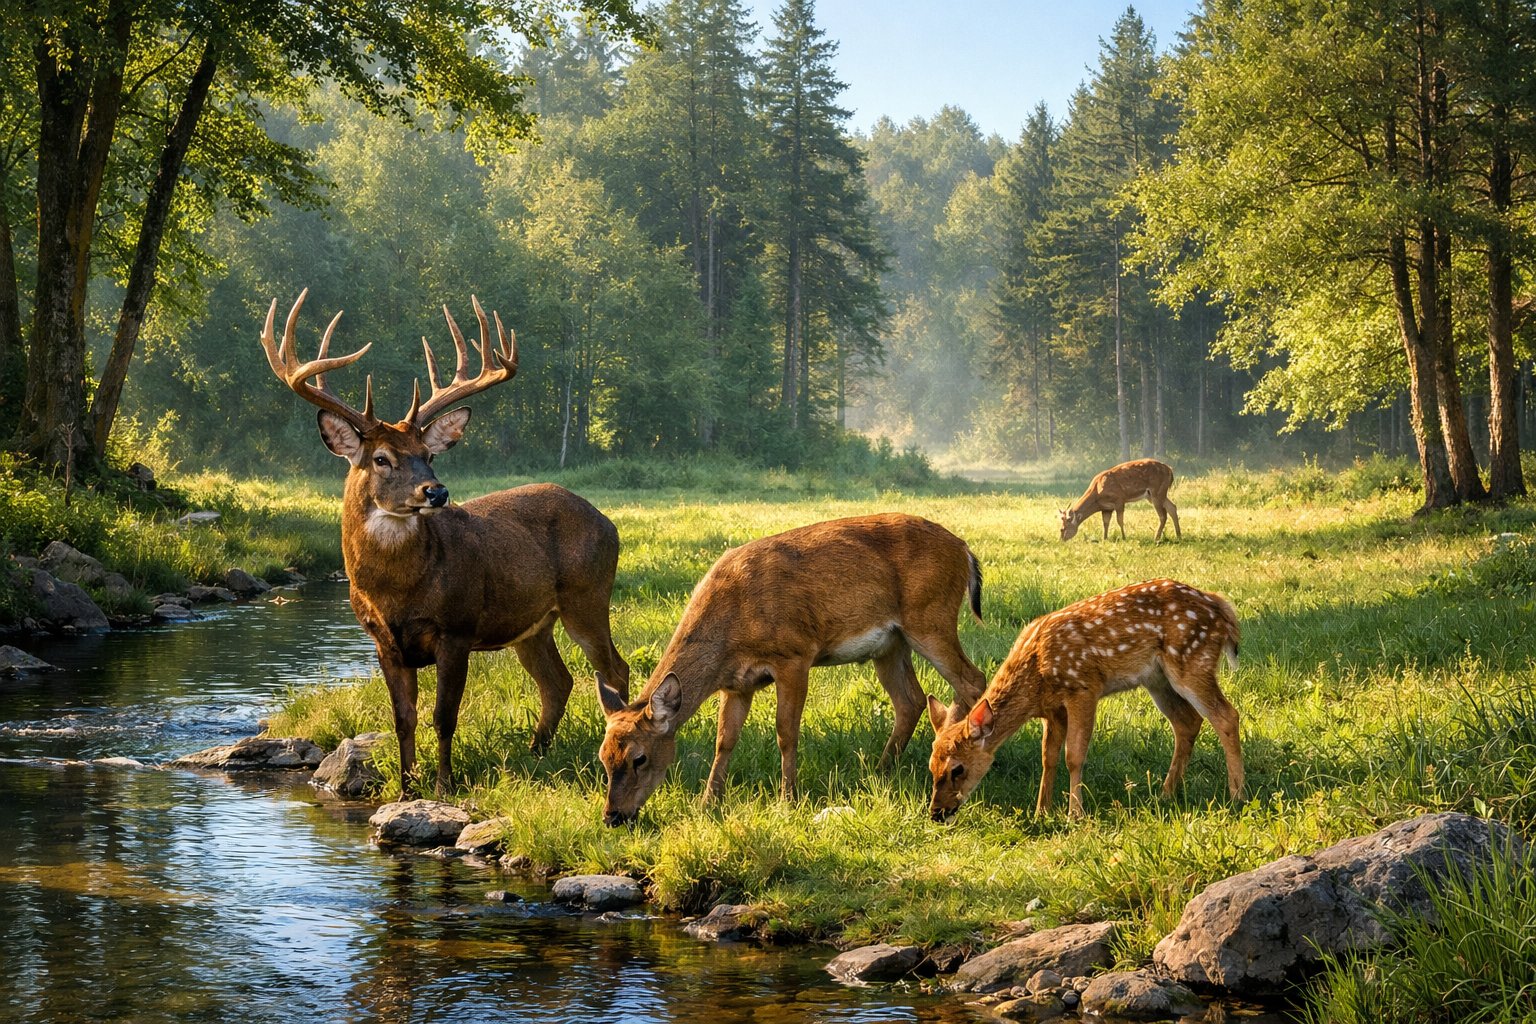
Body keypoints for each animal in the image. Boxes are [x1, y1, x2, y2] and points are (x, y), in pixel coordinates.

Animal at [259, 290, 629, 798]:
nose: (436, 491)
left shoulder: (456, 630)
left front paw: (443, 786)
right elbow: (403, 719)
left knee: (614, 668)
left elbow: (444, 716)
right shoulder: (383, 642)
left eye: (428, 454)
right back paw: (536, 751)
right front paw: (406, 788)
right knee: (558, 680)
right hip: (532, 624)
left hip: (588, 595)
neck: (397, 593)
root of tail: (608, 522)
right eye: (381, 458)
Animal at [595, 513, 989, 826]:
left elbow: (786, 732)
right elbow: (725, 740)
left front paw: (788, 801)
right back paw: (879, 772)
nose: (612, 816)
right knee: (911, 699)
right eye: (603, 758)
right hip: (891, 644)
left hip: (930, 618)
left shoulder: (795, 655)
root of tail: (965, 550)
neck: (732, 626)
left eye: (639, 758)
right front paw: (708, 802)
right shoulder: (737, 684)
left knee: (972, 680)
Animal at [927, 578, 1243, 821]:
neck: (1035, 675)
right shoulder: (1053, 710)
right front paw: (1041, 812)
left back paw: (1236, 795)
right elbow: (1048, 757)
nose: (937, 813)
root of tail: (1222, 608)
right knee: (1187, 721)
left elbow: (1074, 756)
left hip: (1192, 661)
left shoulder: (1083, 688)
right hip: (1158, 680)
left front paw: (1074, 815)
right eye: (931, 767)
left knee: (1226, 715)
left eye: (958, 769)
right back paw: (1165, 794)